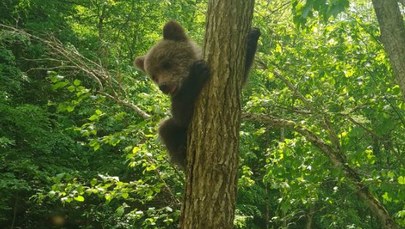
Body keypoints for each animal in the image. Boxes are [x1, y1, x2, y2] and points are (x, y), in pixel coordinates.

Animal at [134, 20, 260, 169]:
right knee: (166, 127)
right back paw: (182, 152)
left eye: (166, 64)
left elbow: (241, 77)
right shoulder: (179, 100)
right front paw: (197, 73)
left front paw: (252, 36)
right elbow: (182, 115)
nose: (163, 86)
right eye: (154, 76)